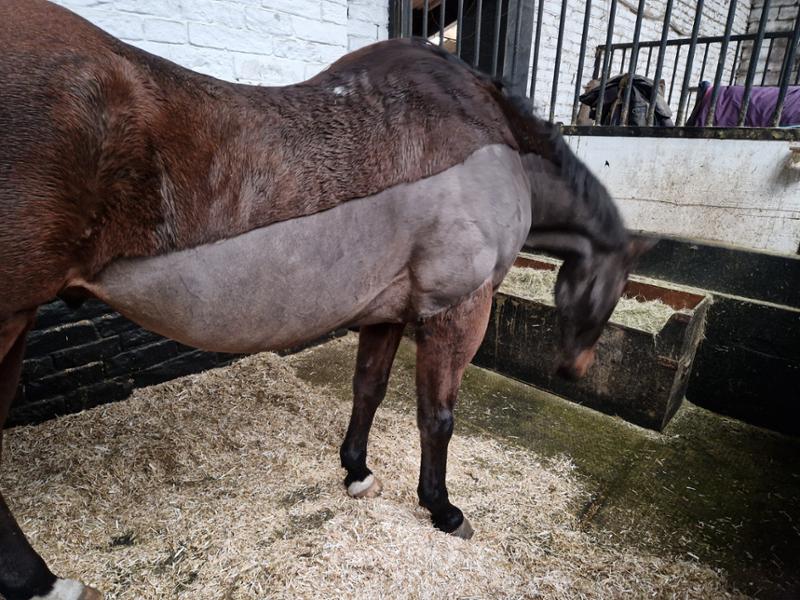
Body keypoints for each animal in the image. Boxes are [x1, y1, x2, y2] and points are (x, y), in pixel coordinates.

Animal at [0, 2, 652, 598]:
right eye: (618, 285)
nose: (574, 369)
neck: (489, 140)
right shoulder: (457, 309)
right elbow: (436, 417)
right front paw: (443, 509)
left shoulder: (387, 312)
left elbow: (369, 390)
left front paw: (357, 471)